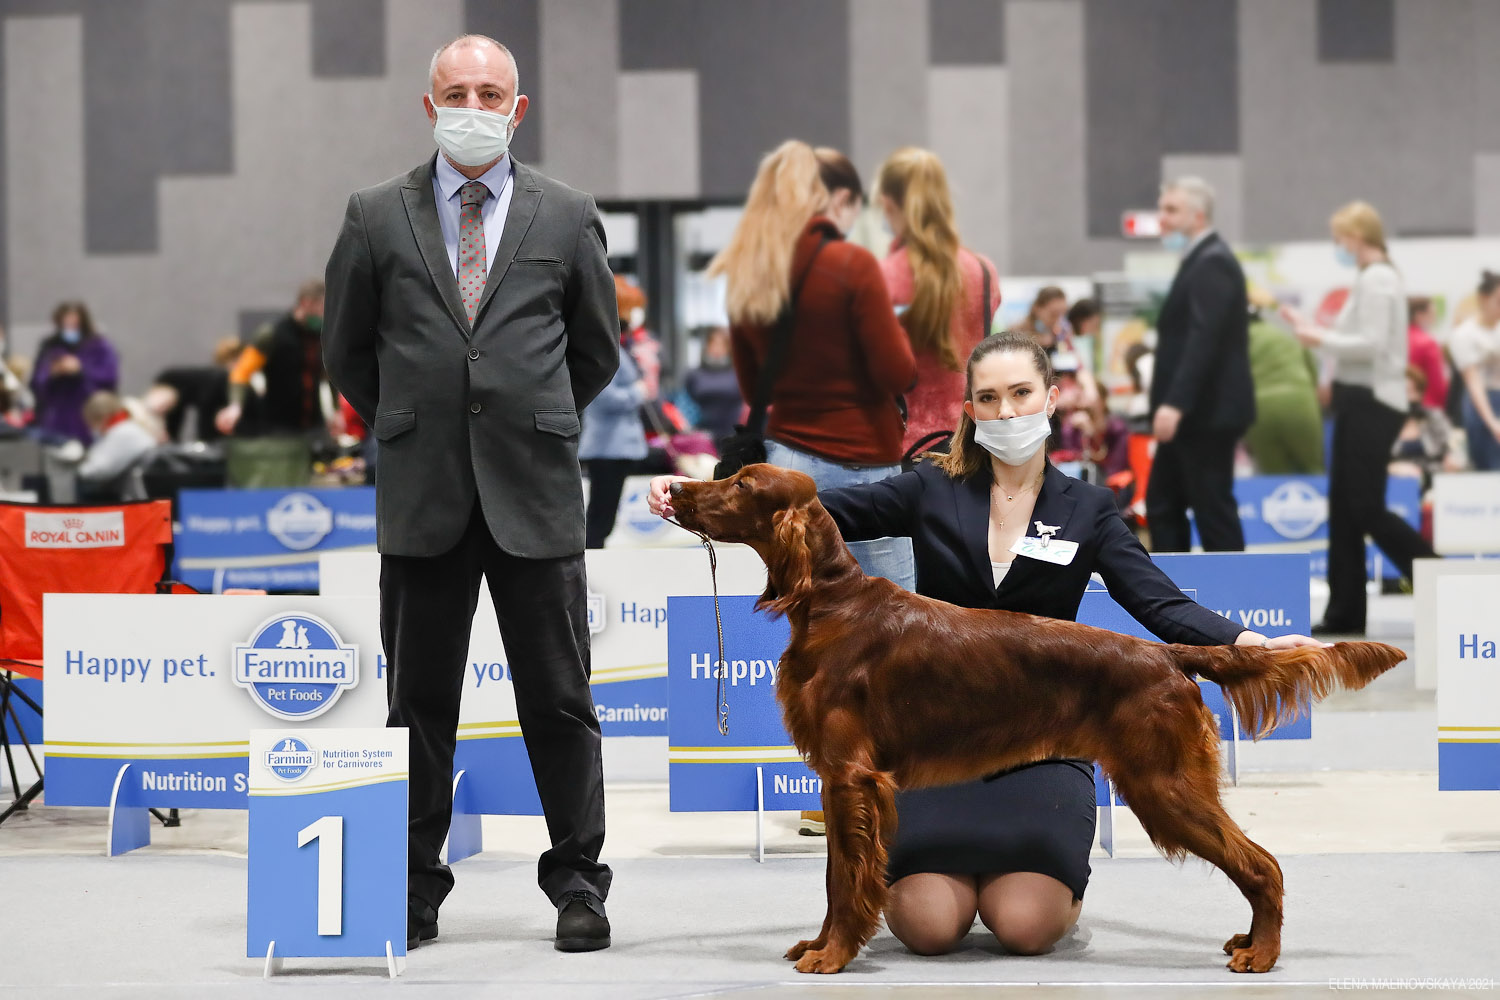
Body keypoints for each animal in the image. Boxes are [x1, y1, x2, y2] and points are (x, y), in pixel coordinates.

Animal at [669, 464, 1404, 971]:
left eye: (740, 481)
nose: (673, 491)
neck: (830, 602)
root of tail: (1166, 653)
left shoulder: (849, 776)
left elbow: (847, 880)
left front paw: (834, 956)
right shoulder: (837, 780)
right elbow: (833, 877)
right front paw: (819, 945)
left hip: (1162, 783)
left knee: (1262, 865)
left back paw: (1263, 953)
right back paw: (1253, 942)